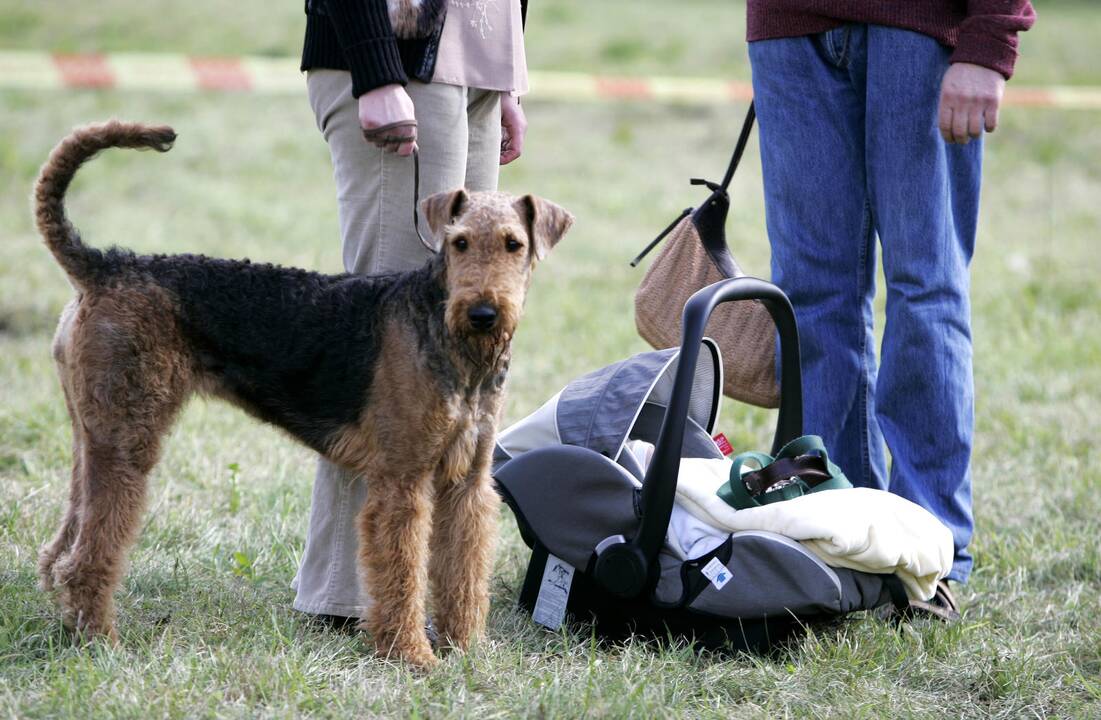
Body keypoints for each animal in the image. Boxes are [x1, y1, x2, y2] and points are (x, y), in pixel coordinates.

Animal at [31, 121, 572, 669]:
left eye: (513, 244)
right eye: (459, 243)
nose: (483, 314)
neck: (446, 334)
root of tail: (105, 265)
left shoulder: (468, 482)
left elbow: (464, 569)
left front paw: (467, 648)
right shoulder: (402, 481)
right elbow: (403, 571)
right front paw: (412, 655)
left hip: (92, 434)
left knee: (61, 547)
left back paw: (71, 625)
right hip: (128, 438)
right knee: (87, 554)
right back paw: (101, 642)